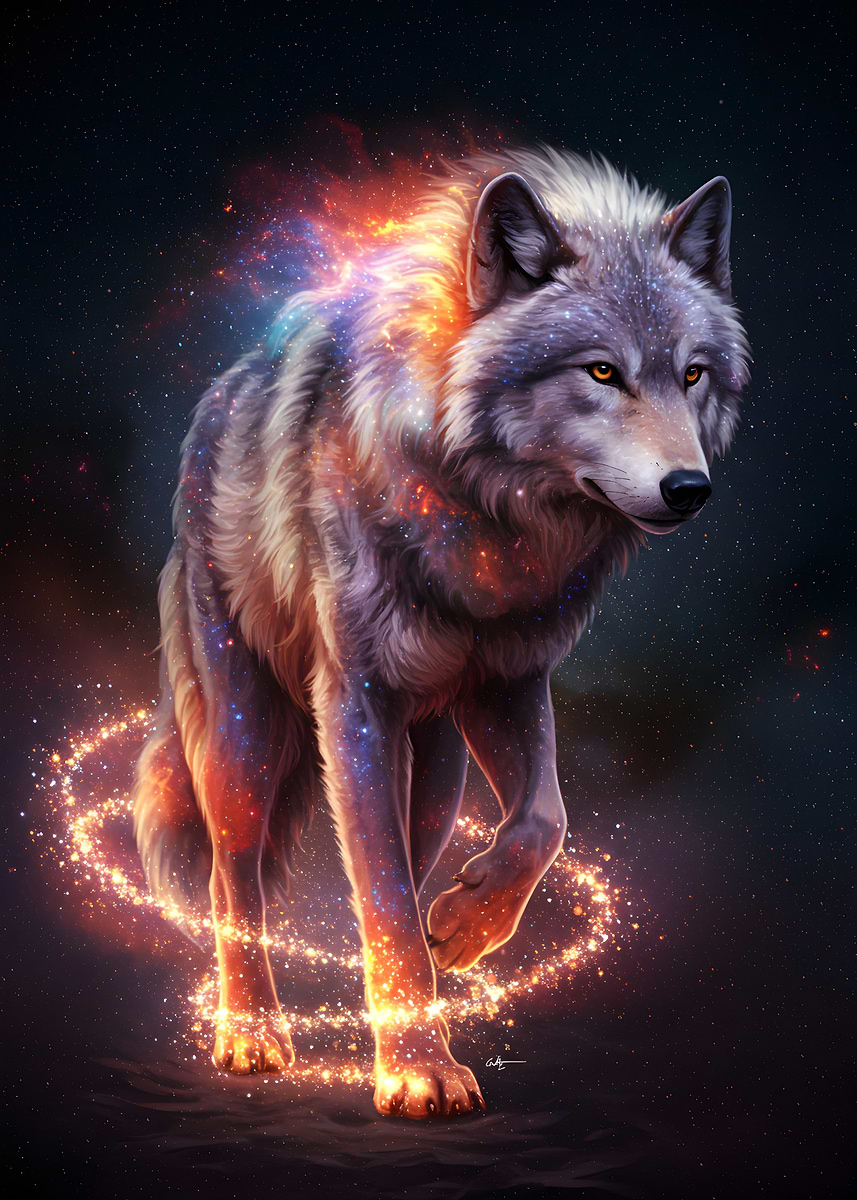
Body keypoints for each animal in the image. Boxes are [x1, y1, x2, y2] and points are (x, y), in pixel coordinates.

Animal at [133, 146, 750, 1118]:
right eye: (600, 373)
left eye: (691, 374)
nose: (688, 490)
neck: (488, 527)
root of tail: (217, 400)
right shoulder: (353, 702)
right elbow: (378, 891)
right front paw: (418, 1068)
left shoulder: (508, 683)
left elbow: (542, 821)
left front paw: (461, 931)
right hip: (243, 737)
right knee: (237, 879)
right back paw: (252, 1032)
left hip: (437, 768)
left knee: (407, 857)